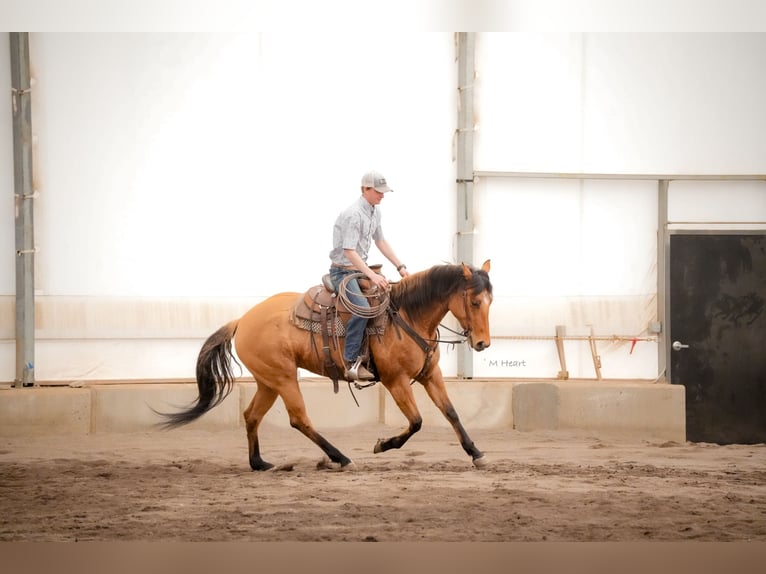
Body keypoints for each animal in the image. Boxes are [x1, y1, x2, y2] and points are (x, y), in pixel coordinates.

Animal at [157, 260, 493, 470]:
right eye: (475, 301)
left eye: (490, 301)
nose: (482, 343)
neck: (408, 315)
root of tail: (242, 320)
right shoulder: (395, 380)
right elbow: (417, 421)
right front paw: (382, 445)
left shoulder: (430, 375)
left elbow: (450, 412)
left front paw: (476, 453)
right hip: (284, 378)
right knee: (299, 419)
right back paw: (341, 458)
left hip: (269, 381)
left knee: (252, 416)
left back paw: (260, 463)